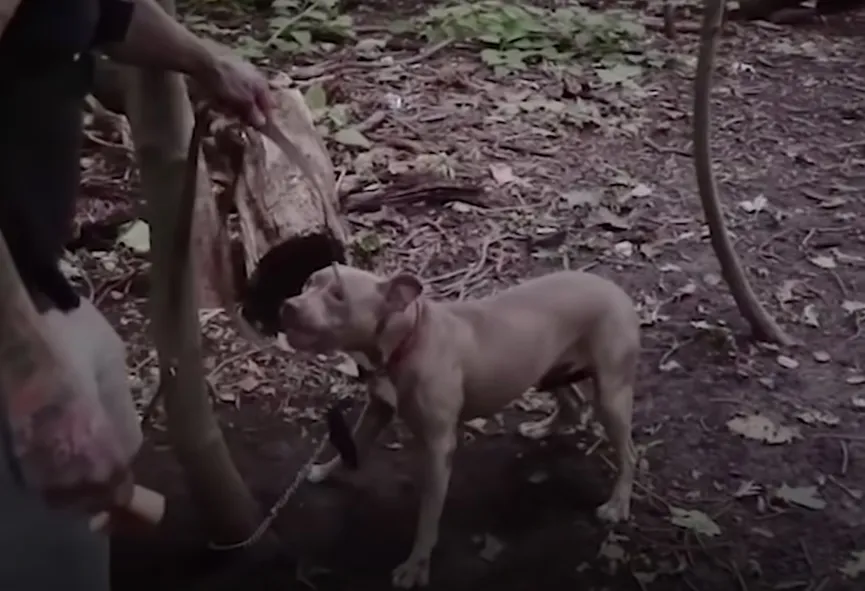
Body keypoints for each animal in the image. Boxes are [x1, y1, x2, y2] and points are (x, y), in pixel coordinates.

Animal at [280, 266, 636, 588]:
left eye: (338, 295)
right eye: (308, 282)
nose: (288, 305)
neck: (408, 336)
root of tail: (614, 288)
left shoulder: (439, 447)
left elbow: (427, 516)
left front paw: (415, 567)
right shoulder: (377, 409)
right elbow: (351, 444)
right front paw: (325, 470)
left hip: (611, 395)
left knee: (629, 454)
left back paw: (617, 504)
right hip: (548, 370)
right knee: (573, 404)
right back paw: (542, 429)